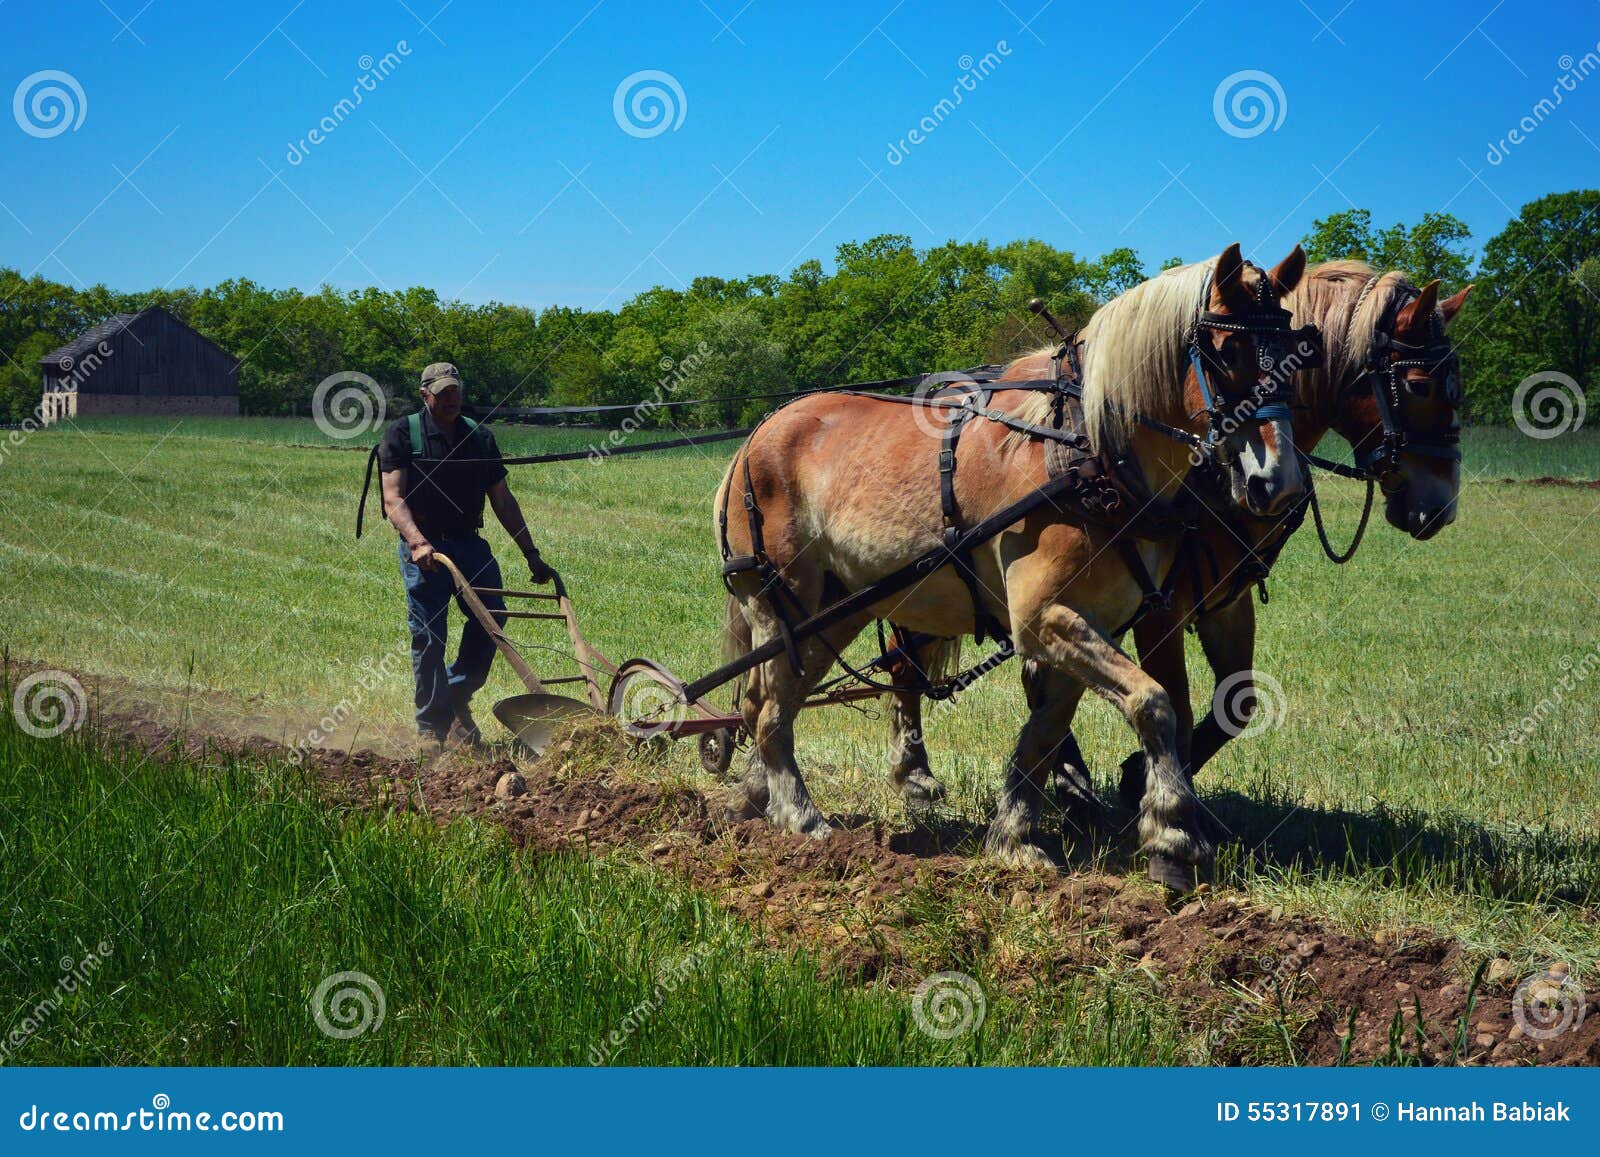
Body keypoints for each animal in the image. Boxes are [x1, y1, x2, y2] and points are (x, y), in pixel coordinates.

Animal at [720, 249, 1305, 889]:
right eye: (1226, 352)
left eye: (1298, 349)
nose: (1278, 482)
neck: (1085, 451)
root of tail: (756, 436)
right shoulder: (1043, 618)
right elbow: (1154, 704)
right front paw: (1175, 836)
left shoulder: (1087, 620)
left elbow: (1046, 733)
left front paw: (1013, 839)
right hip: (780, 601)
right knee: (771, 708)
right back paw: (802, 819)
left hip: (834, 611)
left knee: (769, 702)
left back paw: (754, 800)